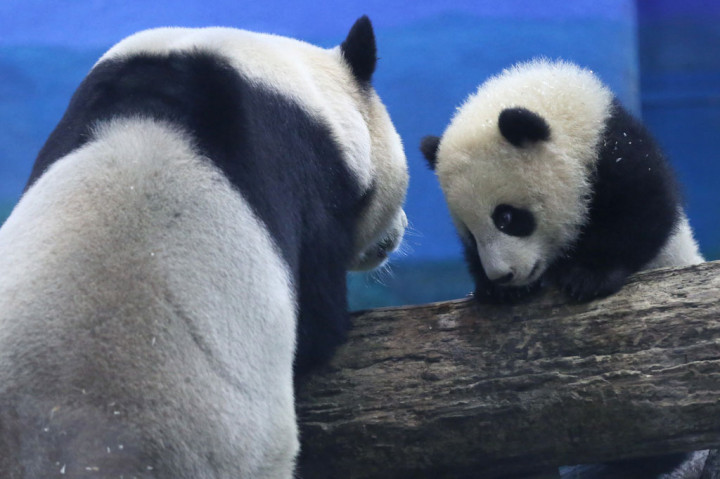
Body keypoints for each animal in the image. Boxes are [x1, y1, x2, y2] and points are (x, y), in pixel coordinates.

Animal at [421, 59, 706, 478]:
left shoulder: (617, 152)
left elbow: (645, 213)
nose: (503, 275)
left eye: (507, 218)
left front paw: (585, 277)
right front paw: (497, 291)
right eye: (470, 235)